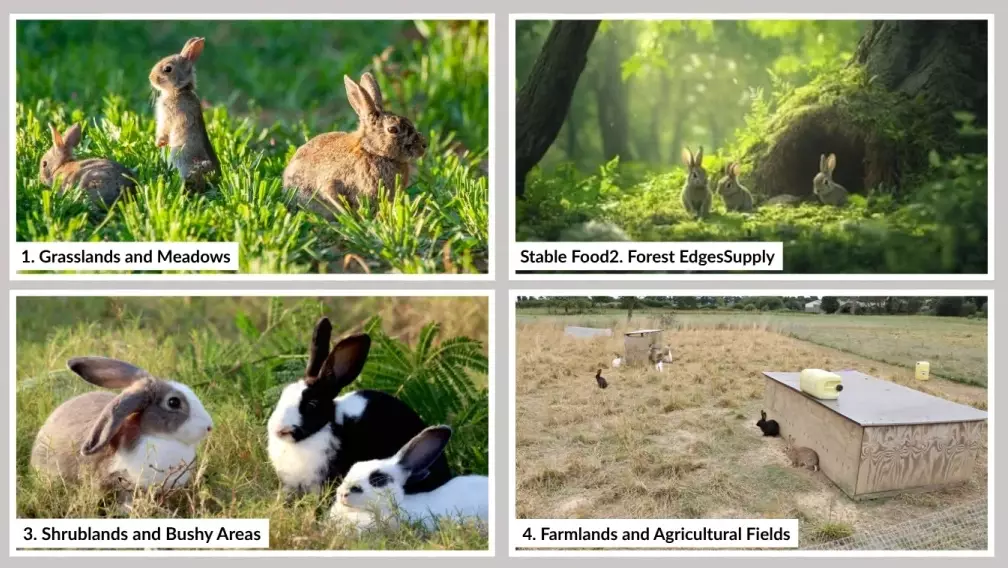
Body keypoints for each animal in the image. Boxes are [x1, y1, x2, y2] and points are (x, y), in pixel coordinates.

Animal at [149, 37, 220, 192]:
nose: (151, 77)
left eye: (168, 69)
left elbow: (164, 130)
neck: (178, 91)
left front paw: (159, 143)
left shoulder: (168, 118)